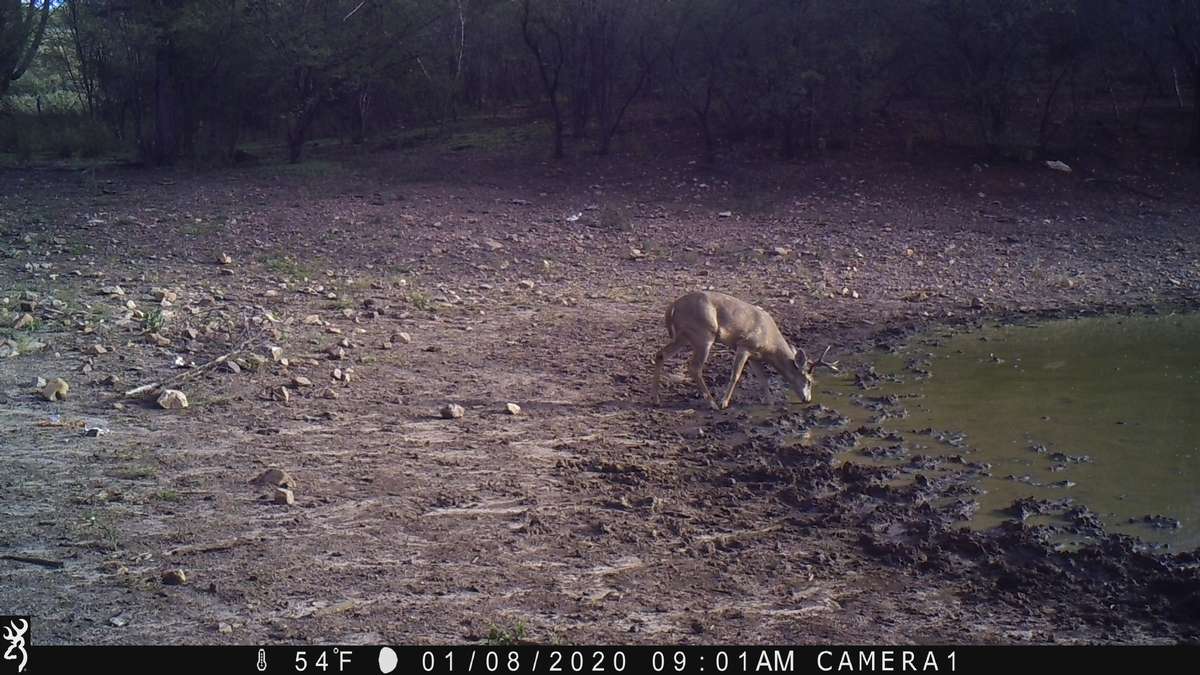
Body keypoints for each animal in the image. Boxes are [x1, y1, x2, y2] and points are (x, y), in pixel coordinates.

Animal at [652, 291, 839, 410]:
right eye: (809, 380)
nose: (808, 399)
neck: (769, 344)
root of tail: (672, 307)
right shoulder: (744, 345)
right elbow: (735, 375)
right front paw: (724, 403)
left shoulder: (755, 355)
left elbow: (763, 378)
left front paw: (770, 402)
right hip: (703, 334)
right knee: (694, 367)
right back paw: (712, 403)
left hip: (685, 336)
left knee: (660, 354)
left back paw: (657, 400)